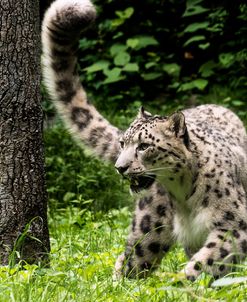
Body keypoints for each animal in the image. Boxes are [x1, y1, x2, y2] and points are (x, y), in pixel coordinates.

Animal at [42, 0, 247, 280]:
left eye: (144, 146)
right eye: (122, 144)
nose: (120, 167)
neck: (184, 194)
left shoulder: (235, 226)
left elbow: (206, 262)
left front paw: (182, 282)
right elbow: (201, 264)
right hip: (150, 227)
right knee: (132, 260)